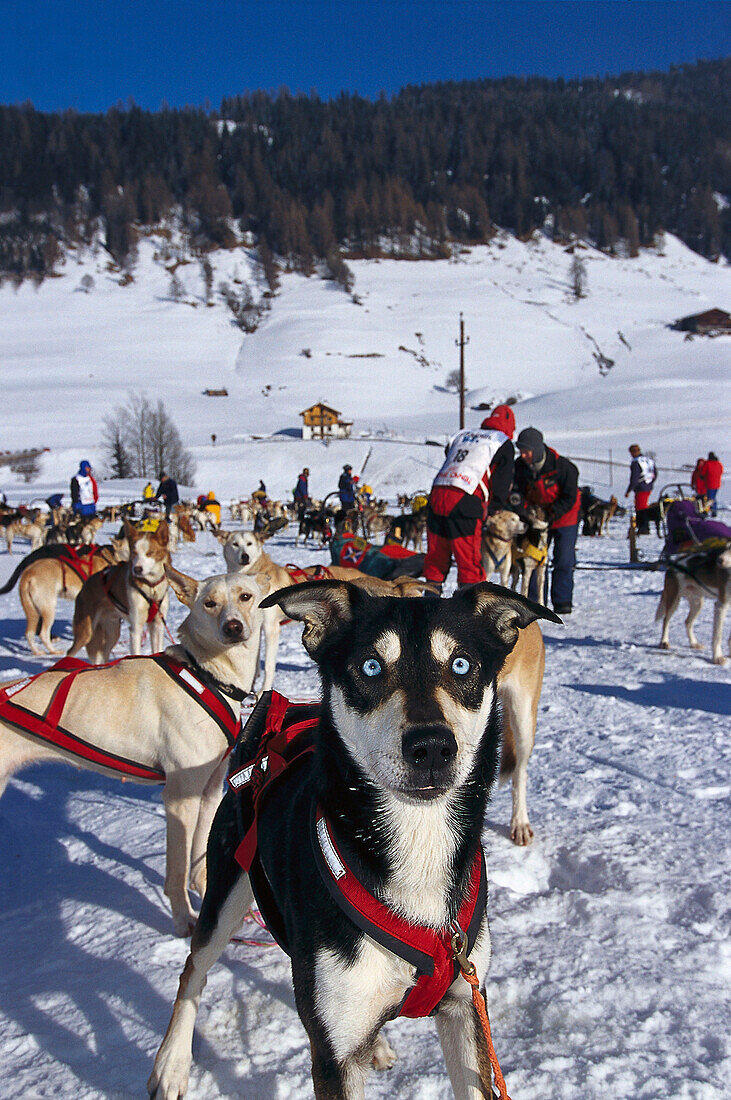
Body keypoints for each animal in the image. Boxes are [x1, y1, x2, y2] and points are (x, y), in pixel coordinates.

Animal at [0, 567, 267, 937]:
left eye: (245, 596)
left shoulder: (211, 789)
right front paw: (184, 921)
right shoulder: (180, 800)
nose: (233, 627)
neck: (206, 674)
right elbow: (177, 873)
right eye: (210, 603)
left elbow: (198, 862)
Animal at [67, 521, 171, 664]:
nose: (137, 569)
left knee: (104, 653)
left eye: (150, 552)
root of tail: (85, 586)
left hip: (112, 632)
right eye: (134, 553)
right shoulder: (136, 628)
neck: (151, 587)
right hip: (86, 631)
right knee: (70, 652)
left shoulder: (157, 625)